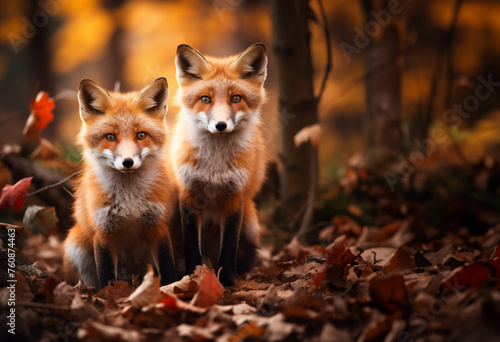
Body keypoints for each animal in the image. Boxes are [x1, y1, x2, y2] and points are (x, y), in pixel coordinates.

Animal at [62, 77, 177, 288]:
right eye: (110, 137)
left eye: (141, 135)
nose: (128, 162)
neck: (129, 200)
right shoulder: (103, 230)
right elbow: (106, 275)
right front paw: (107, 294)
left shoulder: (157, 225)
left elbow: (168, 268)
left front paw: (171, 288)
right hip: (76, 248)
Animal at [170, 44, 268, 288]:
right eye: (205, 99)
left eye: (236, 98)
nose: (221, 125)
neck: (214, 168)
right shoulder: (189, 194)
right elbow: (192, 247)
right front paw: (192, 276)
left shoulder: (235, 195)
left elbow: (229, 247)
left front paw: (227, 281)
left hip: (250, 226)